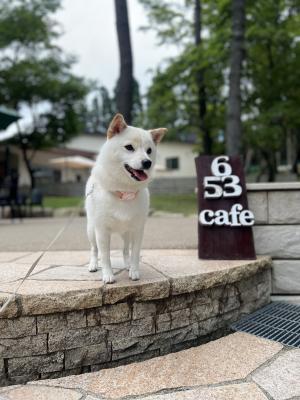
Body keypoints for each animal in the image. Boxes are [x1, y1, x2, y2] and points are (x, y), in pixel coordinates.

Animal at [85, 113, 168, 284]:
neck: (124, 192)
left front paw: (134, 271)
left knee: (125, 250)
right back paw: (93, 264)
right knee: (94, 249)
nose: (147, 162)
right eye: (129, 147)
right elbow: (105, 256)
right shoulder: (102, 230)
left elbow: (135, 253)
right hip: (91, 230)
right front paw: (108, 275)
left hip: (127, 233)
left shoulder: (138, 229)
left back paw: (127, 264)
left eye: (149, 151)